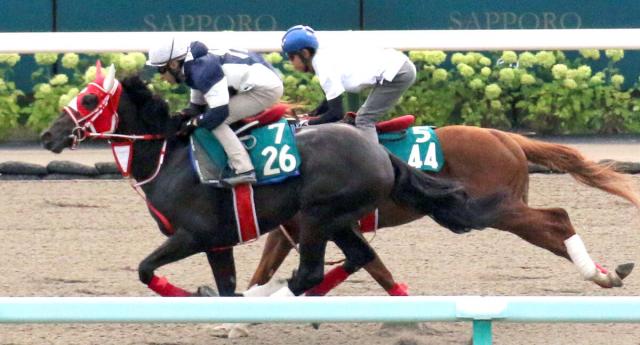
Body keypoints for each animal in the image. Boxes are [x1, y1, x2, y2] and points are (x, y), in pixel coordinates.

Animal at [40, 68, 504, 296]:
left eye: (89, 98)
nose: (48, 135)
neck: (168, 156)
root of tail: (379, 152)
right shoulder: (219, 242)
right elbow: (224, 287)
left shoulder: (194, 234)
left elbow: (145, 269)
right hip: (337, 220)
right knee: (356, 257)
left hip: (317, 216)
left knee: (310, 273)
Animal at [249, 124, 640, 292]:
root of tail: (506, 136)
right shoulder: (294, 230)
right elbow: (262, 273)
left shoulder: (317, 224)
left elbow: (379, 271)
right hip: (504, 208)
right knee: (552, 232)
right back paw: (606, 273)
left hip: (494, 209)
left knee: (557, 219)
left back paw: (601, 273)